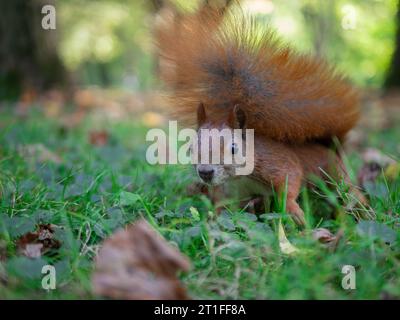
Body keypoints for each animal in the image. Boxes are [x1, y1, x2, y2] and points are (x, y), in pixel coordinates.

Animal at [155, 4, 366, 225]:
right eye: (191, 147)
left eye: (233, 148)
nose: (205, 173)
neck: (240, 177)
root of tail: (332, 148)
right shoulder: (231, 191)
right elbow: (223, 206)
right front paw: (214, 219)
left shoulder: (277, 161)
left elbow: (290, 180)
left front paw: (294, 212)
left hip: (335, 176)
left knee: (349, 193)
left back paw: (363, 211)